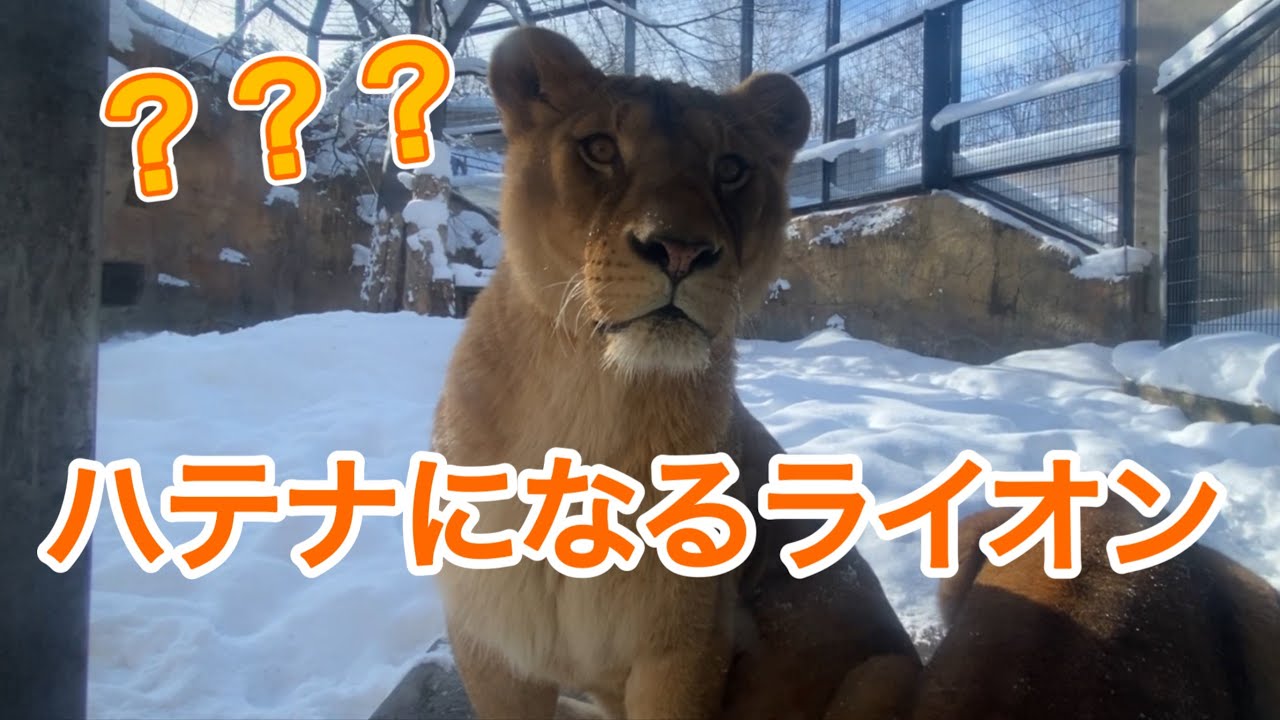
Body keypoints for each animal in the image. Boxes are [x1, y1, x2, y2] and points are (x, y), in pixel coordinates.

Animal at [429, 26, 920, 720]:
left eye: (731, 168)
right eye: (600, 148)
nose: (681, 250)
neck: (591, 392)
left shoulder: (685, 646)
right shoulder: (492, 641)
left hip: (885, 672)